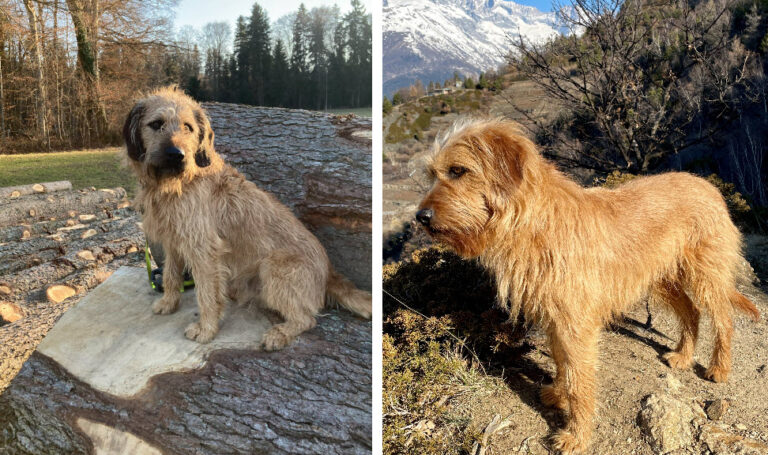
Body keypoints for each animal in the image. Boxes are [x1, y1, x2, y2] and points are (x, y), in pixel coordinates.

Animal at [123, 86, 372, 350]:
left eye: (188, 127)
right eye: (156, 124)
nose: (176, 155)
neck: (177, 183)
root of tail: (329, 273)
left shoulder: (205, 251)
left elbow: (206, 294)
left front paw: (206, 329)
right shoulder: (173, 243)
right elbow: (171, 275)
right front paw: (169, 303)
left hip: (272, 268)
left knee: (307, 319)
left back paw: (280, 333)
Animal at [416, 118, 760, 455]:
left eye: (458, 170)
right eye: (432, 174)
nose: (421, 216)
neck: (535, 221)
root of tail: (709, 186)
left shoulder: (575, 324)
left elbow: (579, 381)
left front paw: (576, 436)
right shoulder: (556, 317)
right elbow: (562, 362)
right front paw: (557, 394)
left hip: (704, 276)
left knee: (723, 318)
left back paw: (719, 368)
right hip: (663, 280)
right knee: (691, 312)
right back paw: (683, 356)